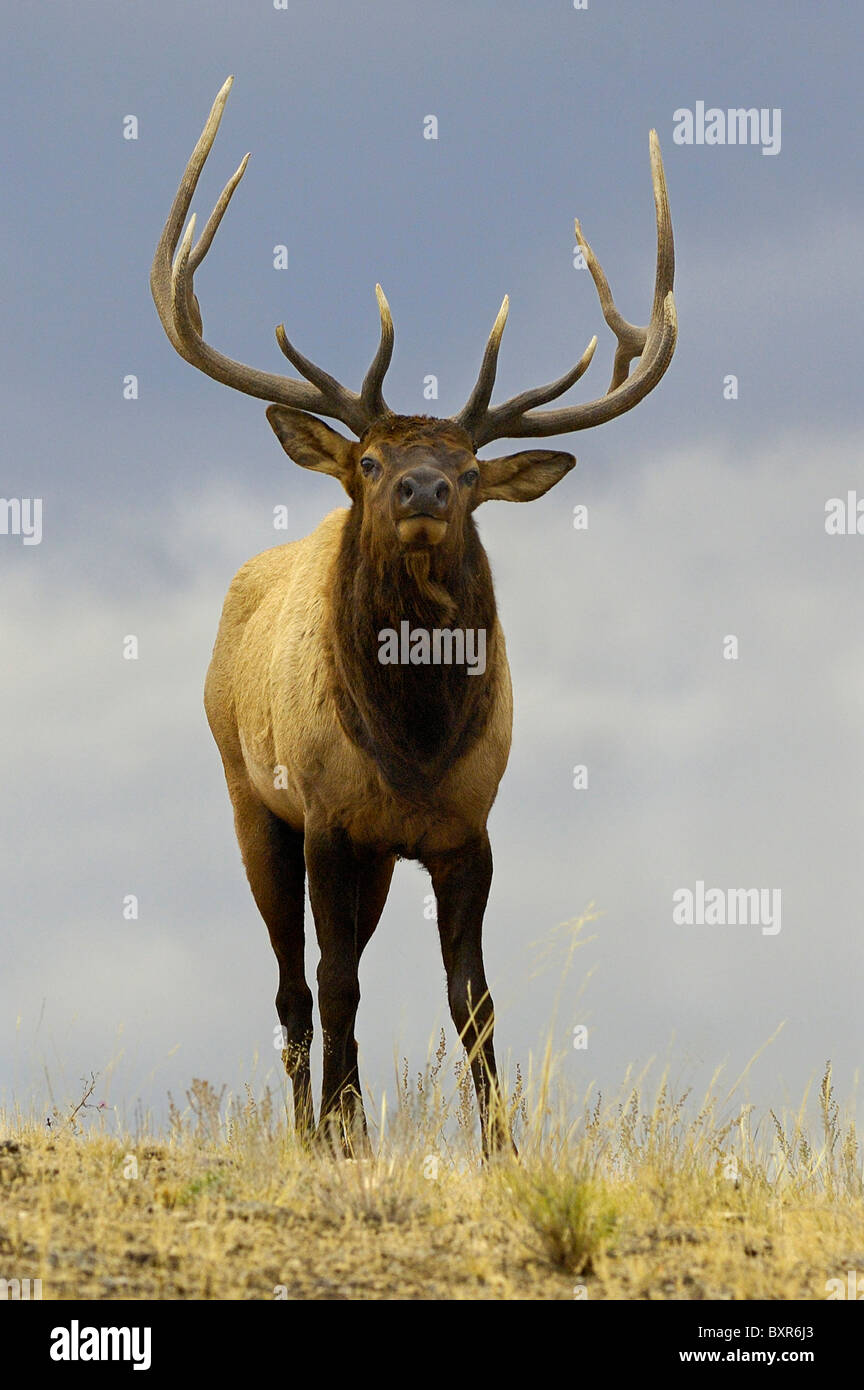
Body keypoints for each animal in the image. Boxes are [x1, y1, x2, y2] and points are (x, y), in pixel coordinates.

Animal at [150, 81, 677, 1156]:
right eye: (368, 460)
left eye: (472, 471)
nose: (425, 487)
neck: (414, 743)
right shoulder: (325, 817)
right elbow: (335, 984)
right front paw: (344, 1136)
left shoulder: (466, 824)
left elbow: (473, 997)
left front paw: (501, 1147)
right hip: (248, 798)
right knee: (292, 986)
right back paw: (311, 1129)